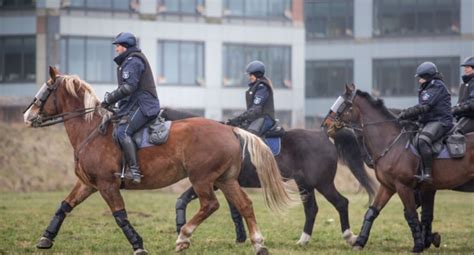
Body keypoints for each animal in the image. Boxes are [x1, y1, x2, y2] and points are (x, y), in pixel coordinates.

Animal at [23, 66, 292, 255]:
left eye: (45, 90)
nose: (27, 116)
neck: (90, 131)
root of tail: (229, 129)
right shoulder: (88, 184)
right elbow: (64, 206)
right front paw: (45, 238)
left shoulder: (107, 185)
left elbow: (120, 216)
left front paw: (138, 245)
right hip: (225, 179)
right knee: (244, 205)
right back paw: (258, 243)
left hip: (202, 179)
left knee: (210, 205)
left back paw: (184, 236)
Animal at [160, 107, 378, 245]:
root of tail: (324, 135)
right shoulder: (222, 182)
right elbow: (234, 210)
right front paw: (241, 237)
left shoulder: (211, 181)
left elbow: (185, 199)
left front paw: (181, 228)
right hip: (305, 184)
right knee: (311, 209)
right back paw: (303, 240)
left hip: (323, 183)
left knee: (341, 203)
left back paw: (349, 237)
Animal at [322, 84, 474, 253]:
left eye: (343, 104)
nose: (325, 124)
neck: (393, 143)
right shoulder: (388, 186)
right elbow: (372, 211)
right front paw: (359, 242)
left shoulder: (404, 187)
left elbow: (412, 214)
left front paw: (419, 245)